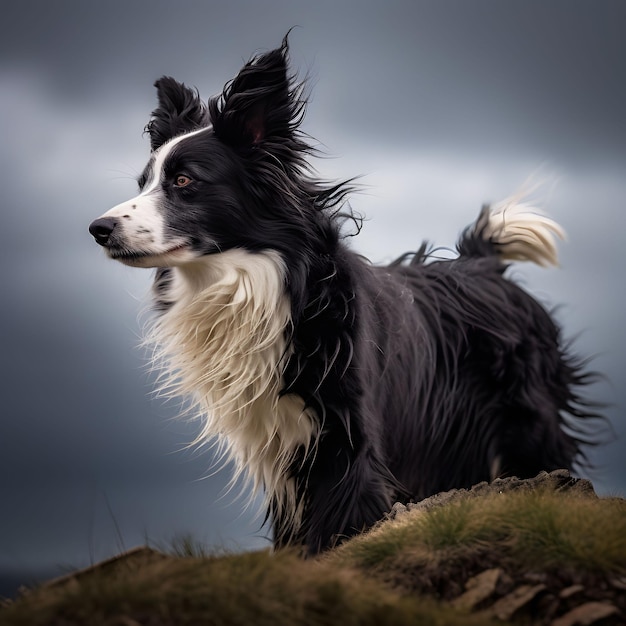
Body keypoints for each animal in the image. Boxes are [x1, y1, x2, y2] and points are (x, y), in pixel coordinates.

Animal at [90, 35, 596, 552]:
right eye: (143, 184)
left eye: (184, 181)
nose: (98, 229)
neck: (255, 283)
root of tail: (485, 264)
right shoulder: (281, 447)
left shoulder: (346, 438)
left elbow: (339, 521)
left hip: (526, 426)